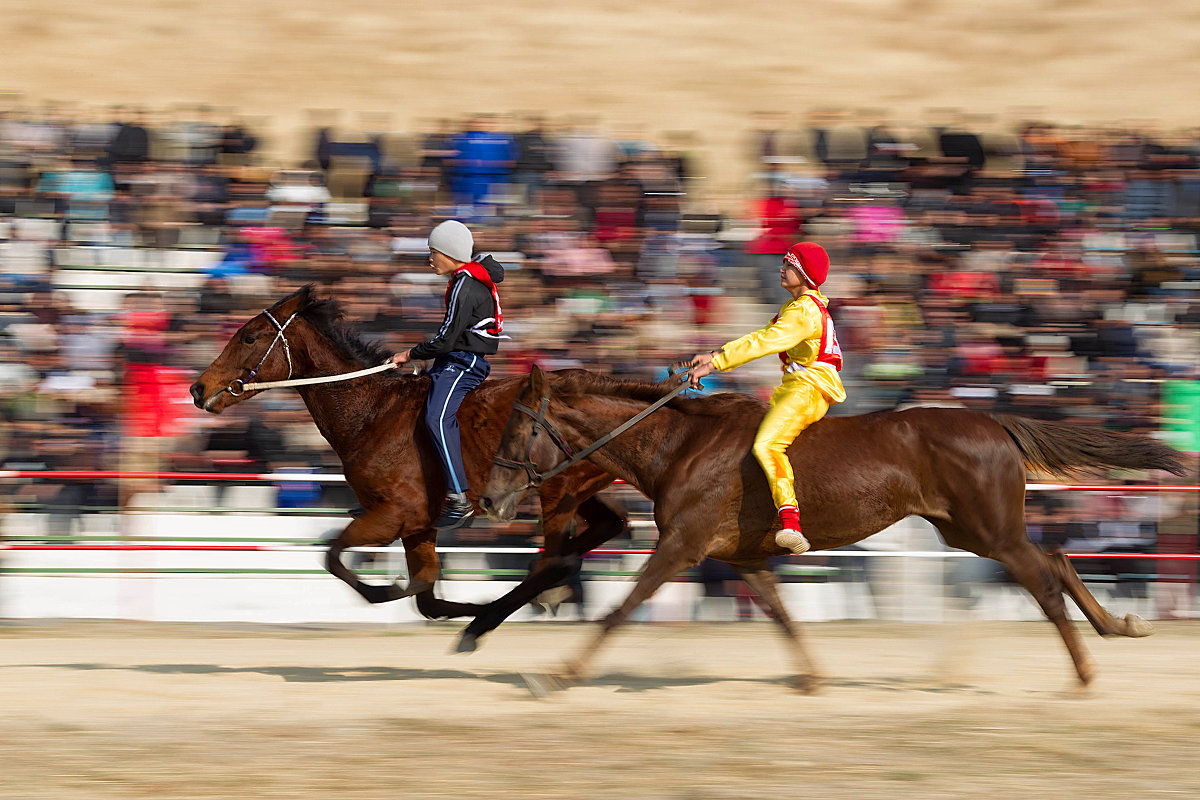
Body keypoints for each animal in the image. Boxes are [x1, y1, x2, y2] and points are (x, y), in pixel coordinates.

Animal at [187, 284, 628, 647]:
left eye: (249, 336)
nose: (198, 388)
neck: (371, 412)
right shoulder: (418, 527)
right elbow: (426, 592)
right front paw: (469, 609)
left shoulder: (391, 516)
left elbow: (336, 557)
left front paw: (387, 591)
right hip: (573, 489)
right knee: (602, 531)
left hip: (556, 490)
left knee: (559, 558)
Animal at [482, 367, 1185, 690]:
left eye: (515, 430)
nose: (489, 498)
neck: (679, 445)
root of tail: (993, 422)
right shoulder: (742, 557)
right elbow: (782, 615)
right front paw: (813, 678)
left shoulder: (681, 545)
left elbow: (622, 608)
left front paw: (561, 674)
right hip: (970, 530)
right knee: (1056, 559)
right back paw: (1121, 625)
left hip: (989, 531)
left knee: (1042, 580)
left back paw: (1085, 671)